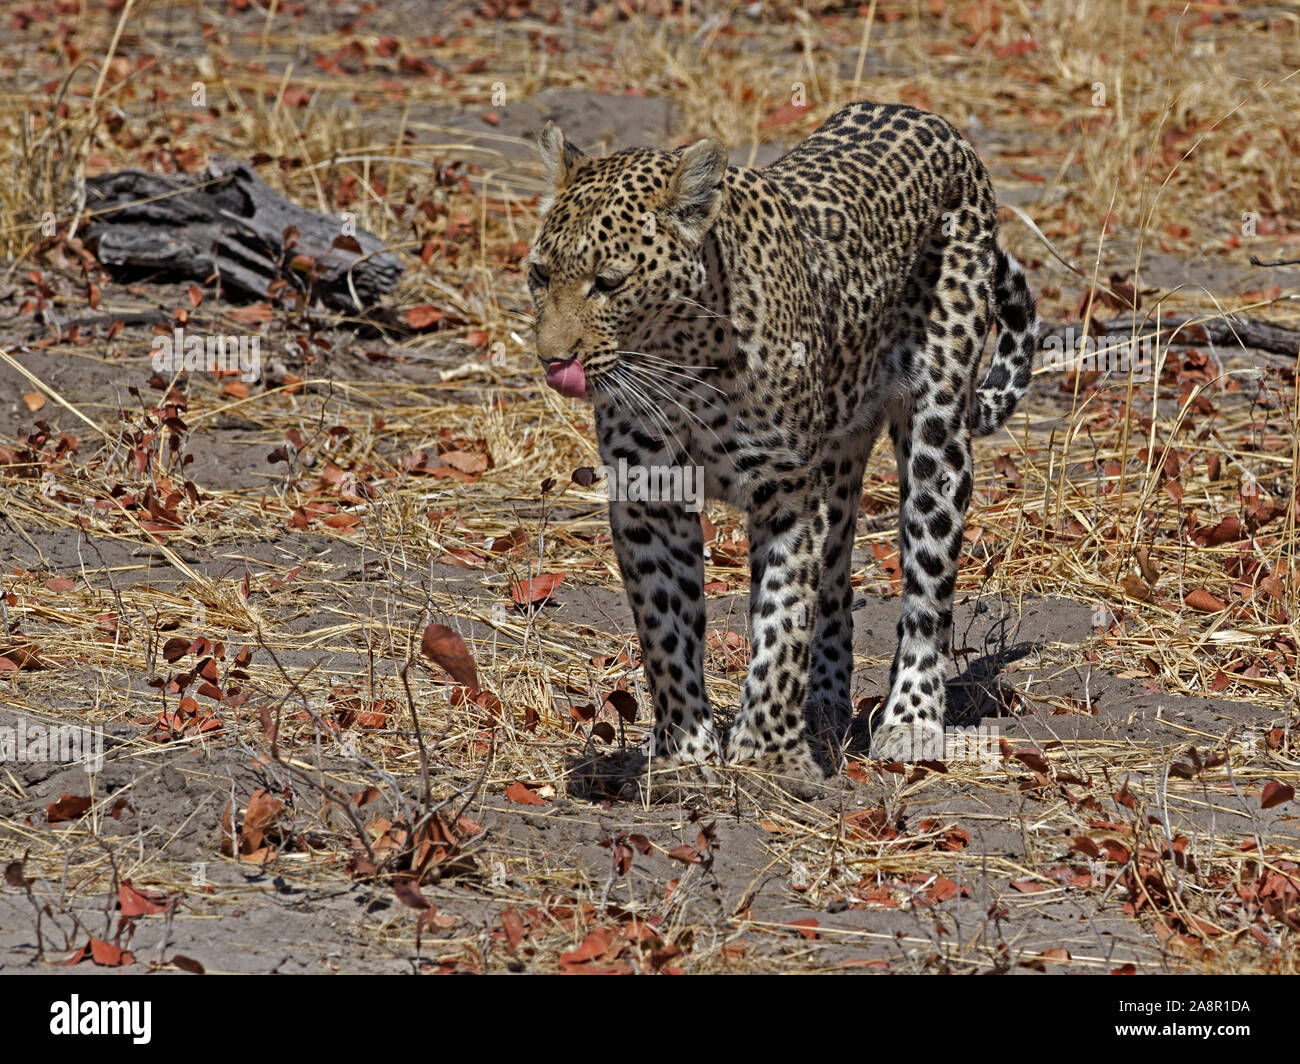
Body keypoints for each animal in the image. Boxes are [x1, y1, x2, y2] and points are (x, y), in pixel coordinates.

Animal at [522, 101, 1040, 796]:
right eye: (539, 274)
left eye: (608, 282)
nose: (553, 361)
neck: (680, 360)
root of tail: (927, 117)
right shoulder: (648, 497)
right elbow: (665, 625)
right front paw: (685, 749)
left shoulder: (787, 492)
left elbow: (783, 618)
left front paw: (767, 754)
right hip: (841, 454)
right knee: (837, 579)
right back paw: (824, 703)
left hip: (936, 433)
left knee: (926, 586)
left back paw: (911, 718)